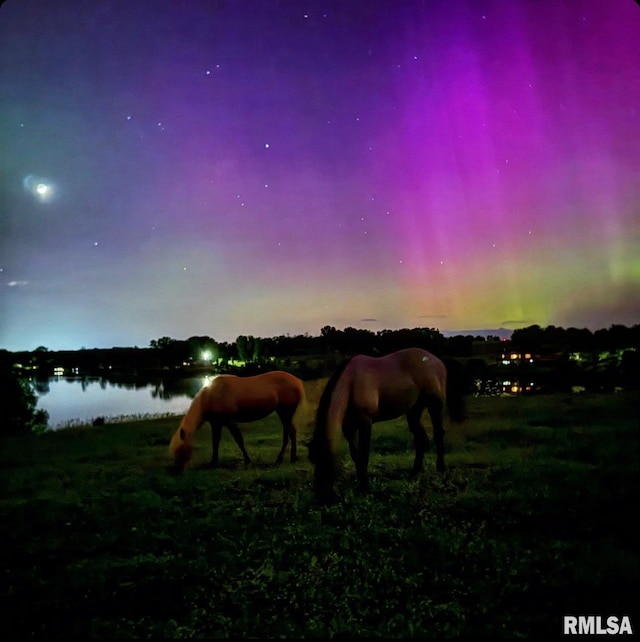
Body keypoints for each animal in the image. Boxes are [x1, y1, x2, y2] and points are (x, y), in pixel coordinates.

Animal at [168, 370, 304, 470]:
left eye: (180, 450)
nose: (177, 470)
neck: (211, 397)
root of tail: (297, 381)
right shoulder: (216, 424)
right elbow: (215, 442)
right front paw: (213, 462)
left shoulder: (231, 422)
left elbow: (239, 441)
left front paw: (247, 460)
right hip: (283, 413)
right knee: (292, 432)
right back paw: (292, 458)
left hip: (286, 412)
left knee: (288, 434)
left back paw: (281, 459)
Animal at [306, 348, 464, 502]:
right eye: (313, 460)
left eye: (325, 461)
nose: (322, 497)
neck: (351, 384)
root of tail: (437, 360)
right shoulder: (349, 429)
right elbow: (356, 455)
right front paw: (360, 484)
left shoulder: (365, 423)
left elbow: (364, 455)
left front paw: (365, 488)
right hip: (414, 411)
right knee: (421, 438)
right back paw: (414, 472)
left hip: (435, 405)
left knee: (438, 432)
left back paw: (441, 468)